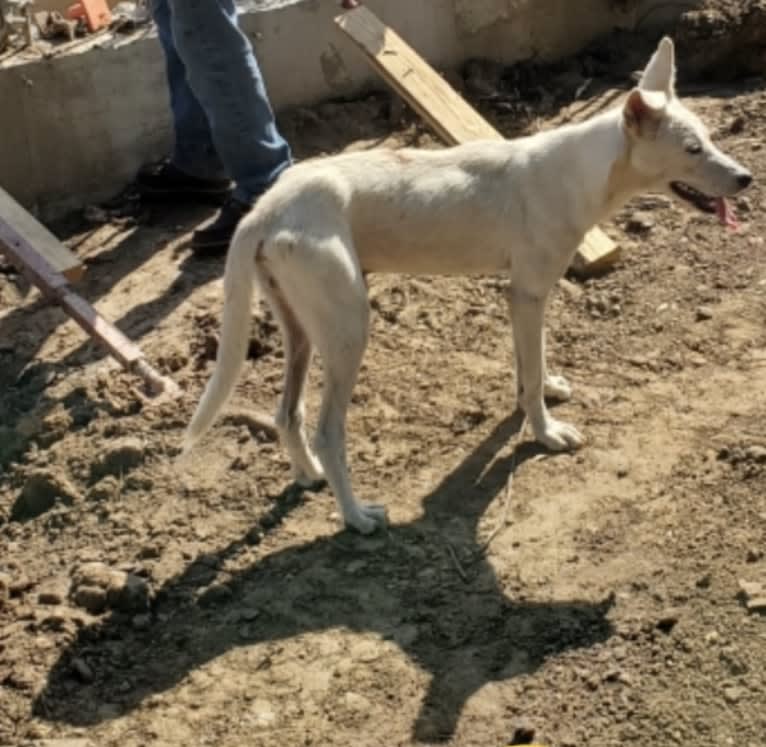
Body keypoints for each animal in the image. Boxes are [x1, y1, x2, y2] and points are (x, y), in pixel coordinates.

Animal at [188, 38, 756, 536]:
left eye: (710, 139)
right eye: (692, 149)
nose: (747, 178)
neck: (582, 171)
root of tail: (266, 207)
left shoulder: (521, 296)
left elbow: (532, 366)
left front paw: (540, 396)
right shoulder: (529, 292)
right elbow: (530, 381)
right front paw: (546, 433)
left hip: (302, 331)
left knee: (288, 413)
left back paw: (309, 476)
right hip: (349, 330)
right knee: (329, 433)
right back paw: (356, 517)